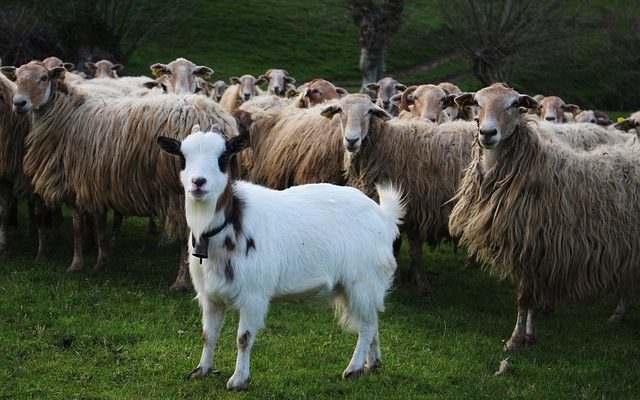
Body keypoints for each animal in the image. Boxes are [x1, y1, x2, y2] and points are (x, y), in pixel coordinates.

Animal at [157, 126, 402, 390]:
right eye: (183, 157)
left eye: (223, 157)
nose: (198, 182)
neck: (230, 222)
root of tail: (384, 216)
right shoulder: (210, 295)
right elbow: (208, 334)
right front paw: (202, 370)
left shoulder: (254, 294)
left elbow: (244, 338)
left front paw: (239, 379)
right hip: (361, 285)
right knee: (373, 319)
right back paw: (372, 364)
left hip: (362, 281)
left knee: (366, 325)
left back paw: (354, 368)